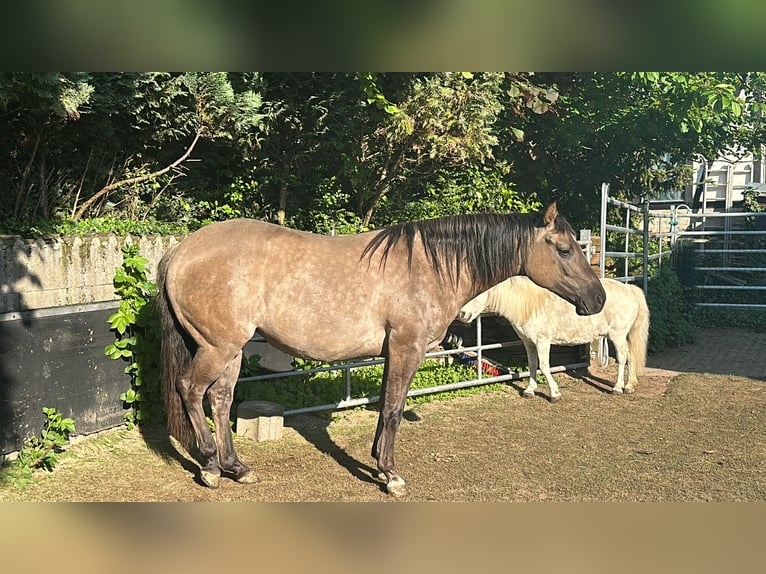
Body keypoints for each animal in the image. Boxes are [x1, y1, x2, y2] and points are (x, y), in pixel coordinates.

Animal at [462, 276, 648, 402]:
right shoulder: (528, 342)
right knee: (630, 356)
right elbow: (532, 364)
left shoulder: (542, 341)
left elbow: (544, 366)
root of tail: (629, 288)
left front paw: (554, 393)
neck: (530, 304)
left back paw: (617, 388)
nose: (462, 314)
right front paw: (529, 390)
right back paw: (629, 386)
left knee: (622, 357)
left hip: (618, 335)